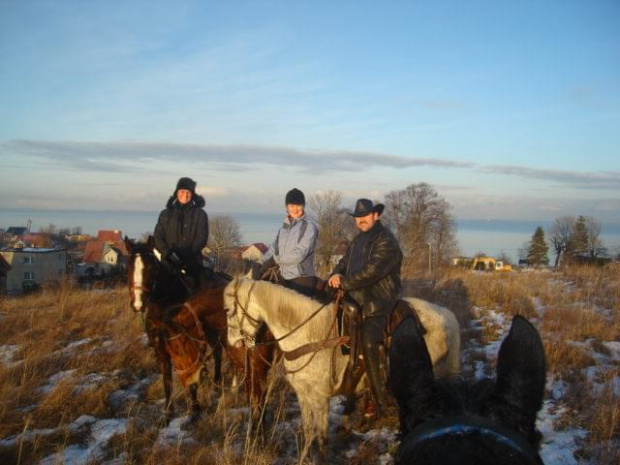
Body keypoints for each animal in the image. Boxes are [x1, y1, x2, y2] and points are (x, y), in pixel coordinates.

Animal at [123, 237, 274, 422]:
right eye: (128, 268)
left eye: (152, 268)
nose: (138, 304)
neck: (164, 308)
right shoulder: (161, 348)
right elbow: (167, 378)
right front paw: (168, 413)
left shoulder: (189, 345)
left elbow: (191, 375)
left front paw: (194, 410)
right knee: (217, 353)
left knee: (221, 354)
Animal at [224, 278, 460, 452]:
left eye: (227, 310)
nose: (232, 343)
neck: (309, 333)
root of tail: (447, 315)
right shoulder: (304, 394)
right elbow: (309, 432)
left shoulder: (320, 398)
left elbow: (321, 437)